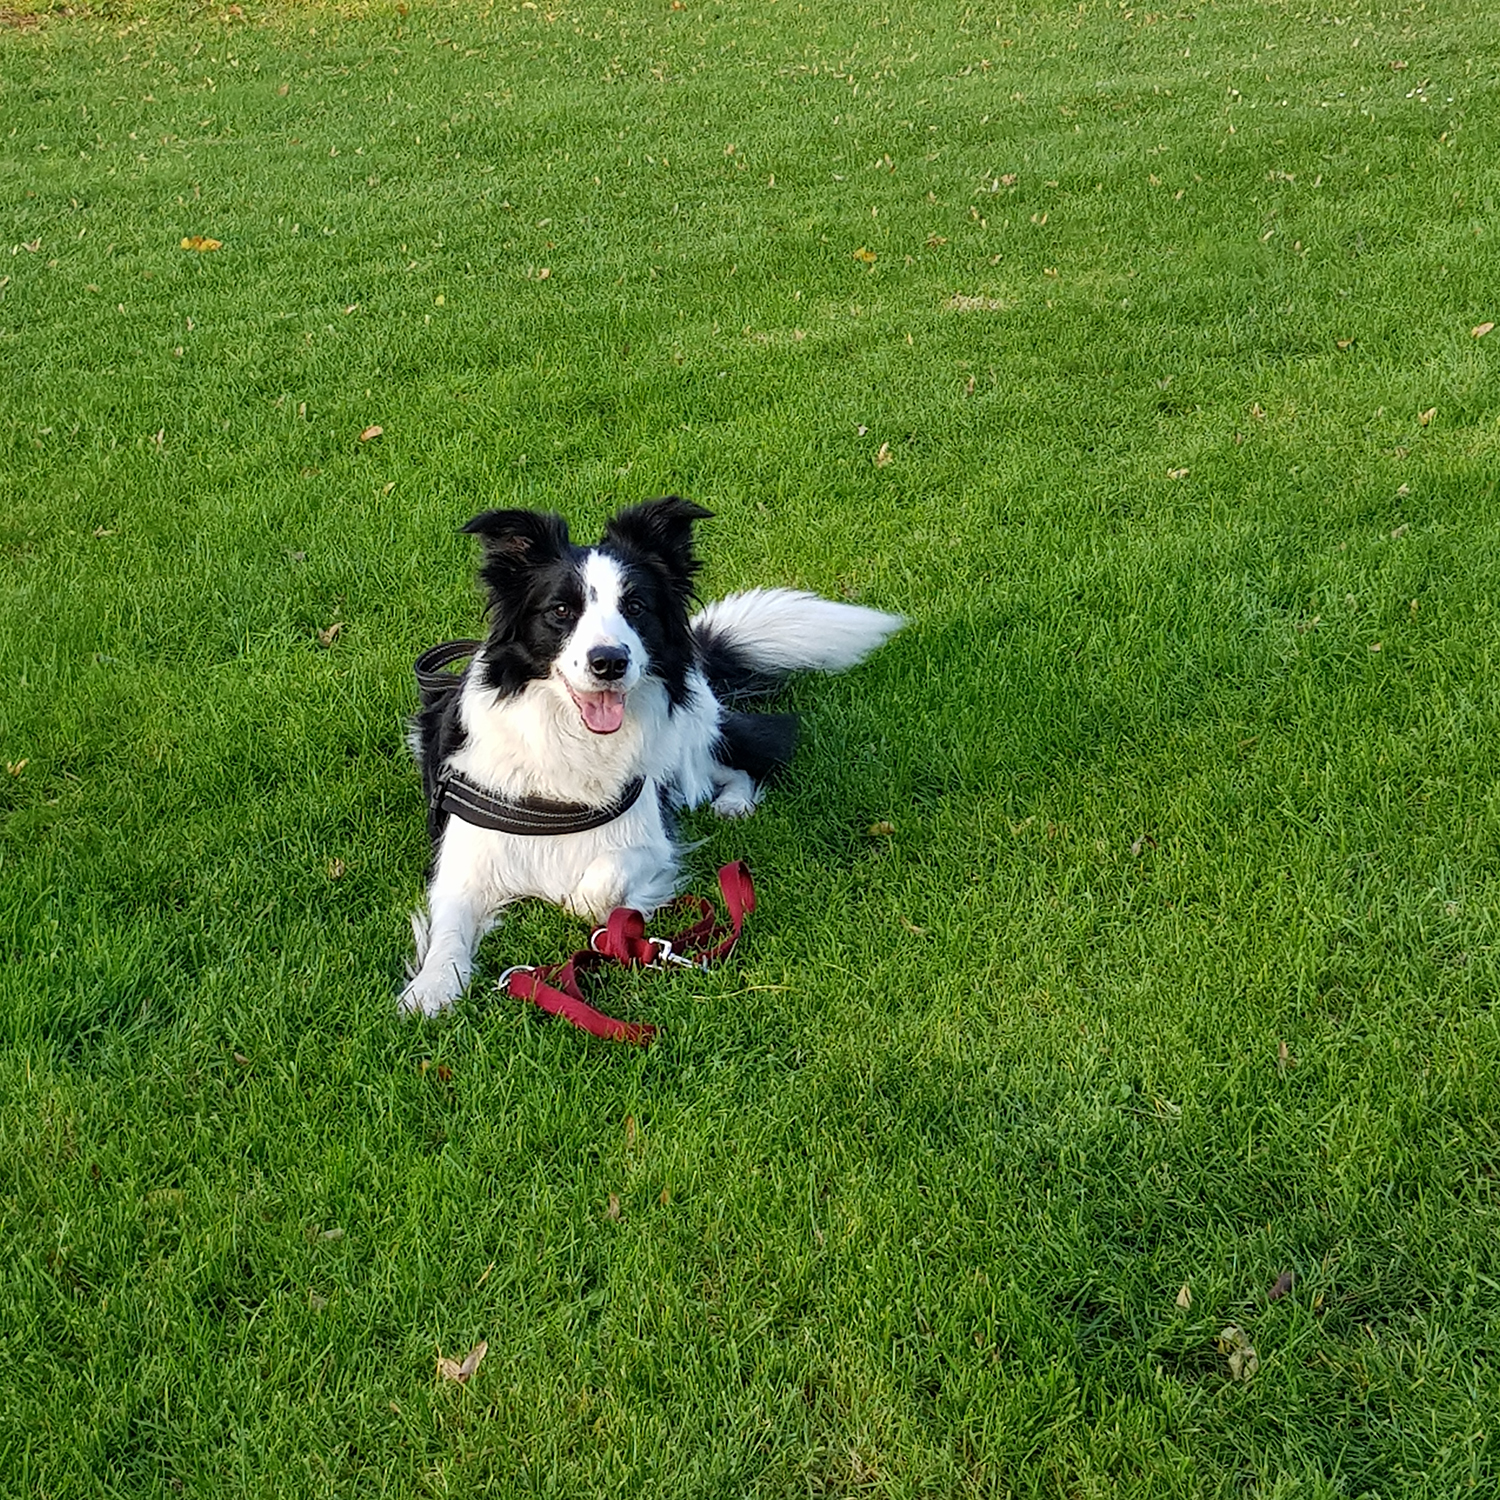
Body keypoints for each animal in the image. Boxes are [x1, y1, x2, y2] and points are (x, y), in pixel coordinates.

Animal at [399, 501, 900, 1020]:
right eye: (561, 611)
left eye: (635, 608)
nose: (609, 662)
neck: (571, 744)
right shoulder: (462, 862)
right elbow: (449, 928)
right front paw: (434, 987)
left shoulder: (653, 839)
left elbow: (594, 889)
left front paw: (608, 913)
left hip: (686, 741)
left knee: (739, 757)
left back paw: (733, 803)